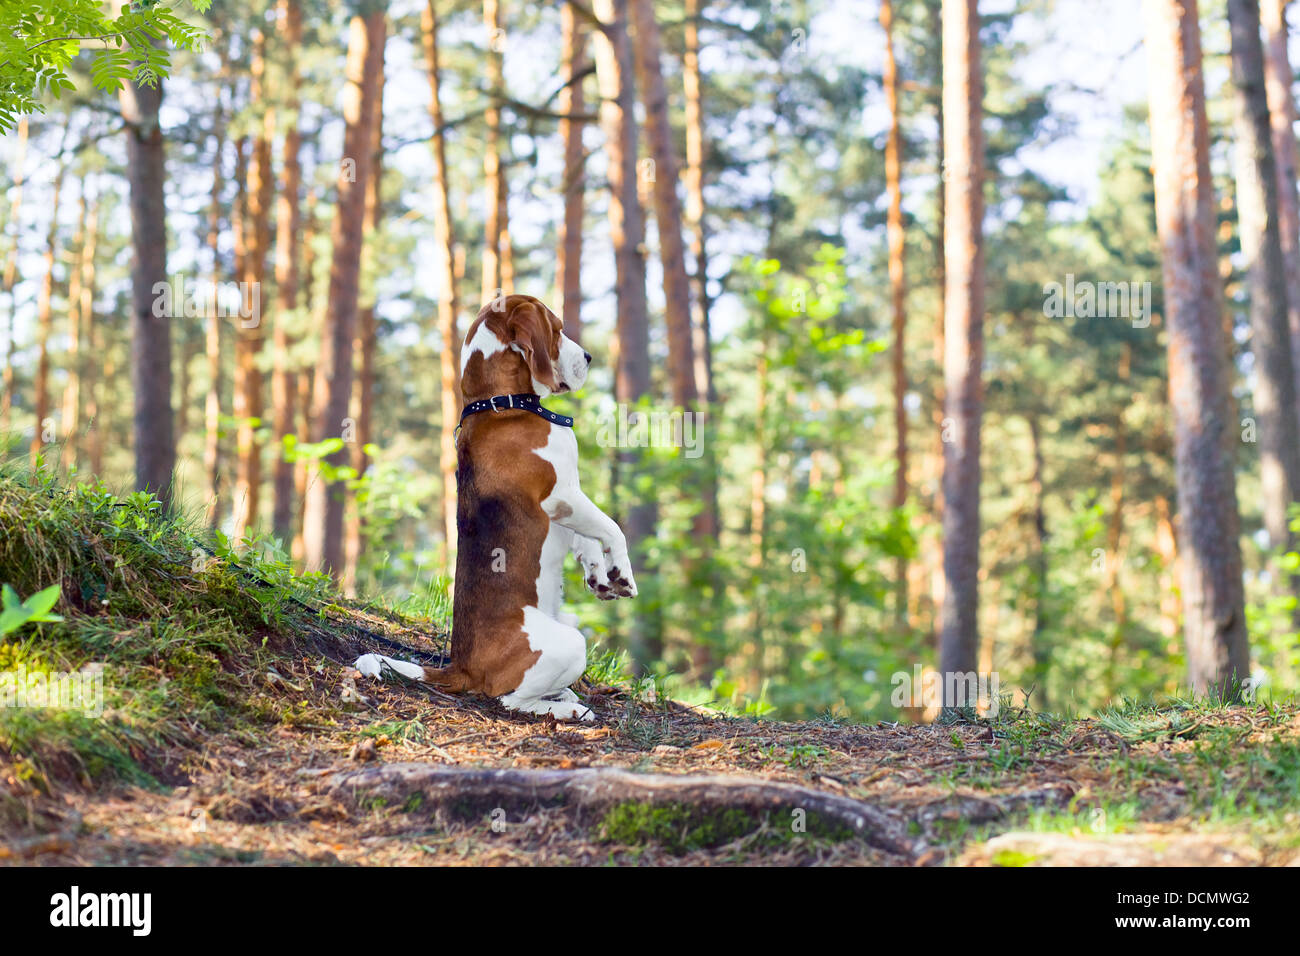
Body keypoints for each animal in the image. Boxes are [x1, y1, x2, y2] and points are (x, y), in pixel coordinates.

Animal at [356, 295, 639, 723]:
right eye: (557, 330)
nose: (590, 357)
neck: (500, 403)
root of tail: (461, 667)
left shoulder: (568, 503)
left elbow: (588, 539)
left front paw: (599, 575)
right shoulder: (563, 496)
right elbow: (612, 528)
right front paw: (621, 573)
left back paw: (564, 695)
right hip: (571, 643)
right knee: (509, 700)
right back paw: (567, 709)